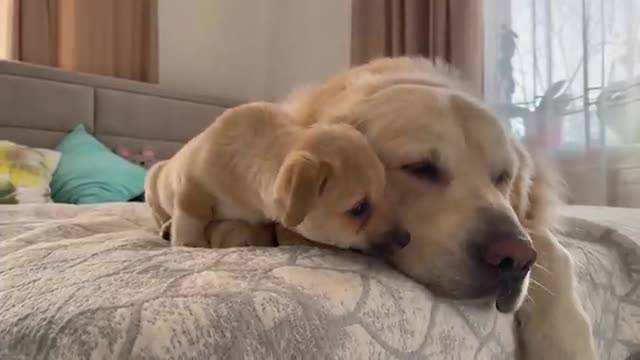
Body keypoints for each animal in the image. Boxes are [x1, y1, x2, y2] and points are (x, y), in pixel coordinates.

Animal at [145, 101, 410, 253]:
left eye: (385, 192)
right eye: (359, 208)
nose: (407, 238)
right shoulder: (191, 183)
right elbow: (191, 217)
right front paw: (189, 244)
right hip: (154, 180)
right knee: (161, 215)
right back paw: (167, 226)